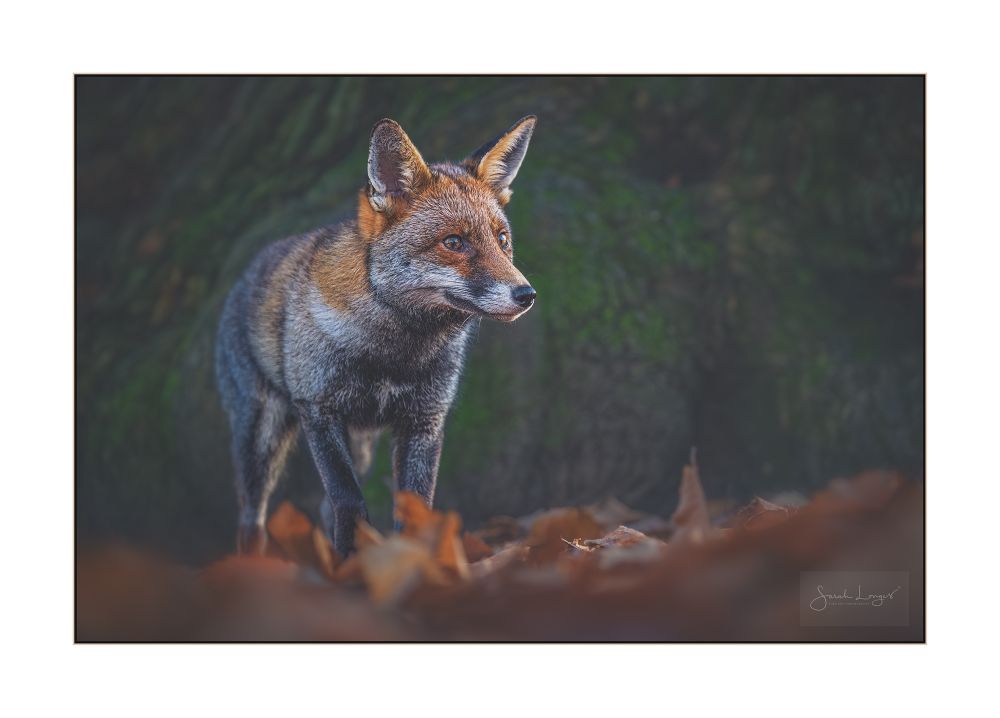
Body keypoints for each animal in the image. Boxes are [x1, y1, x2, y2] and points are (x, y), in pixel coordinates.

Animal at [215, 115, 538, 557]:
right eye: (454, 242)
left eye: (502, 241)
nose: (527, 295)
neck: (396, 354)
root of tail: (246, 273)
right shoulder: (319, 410)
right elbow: (349, 500)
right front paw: (351, 563)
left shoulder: (425, 419)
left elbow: (416, 506)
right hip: (261, 435)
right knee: (253, 514)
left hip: (361, 444)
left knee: (321, 505)